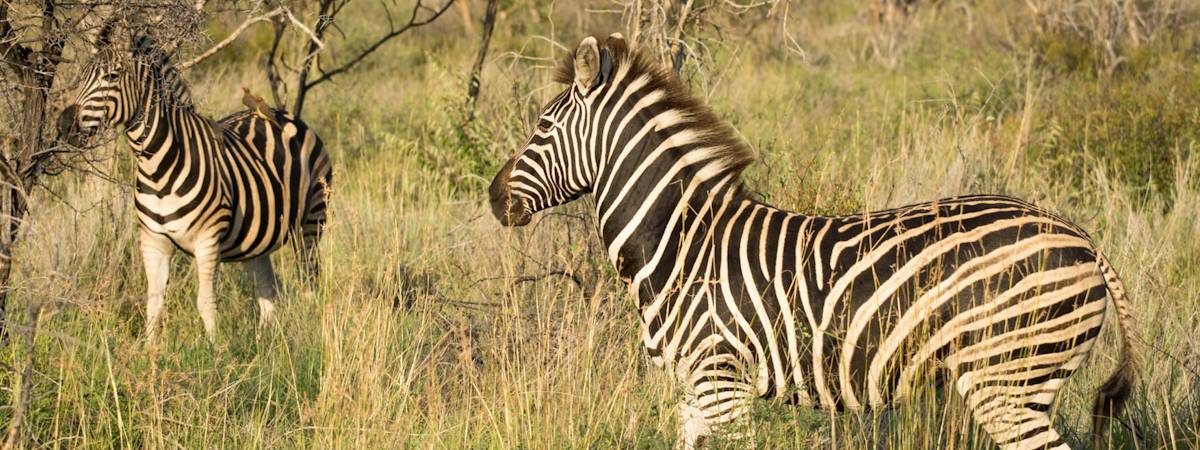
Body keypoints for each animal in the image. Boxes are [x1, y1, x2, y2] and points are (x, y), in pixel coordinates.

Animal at [484, 33, 1132, 448]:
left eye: (542, 125)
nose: (493, 197)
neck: (681, 242)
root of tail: (1082, 236)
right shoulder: (694, 395)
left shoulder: (724, 386)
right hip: (1024, 380)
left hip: (1009, 381)